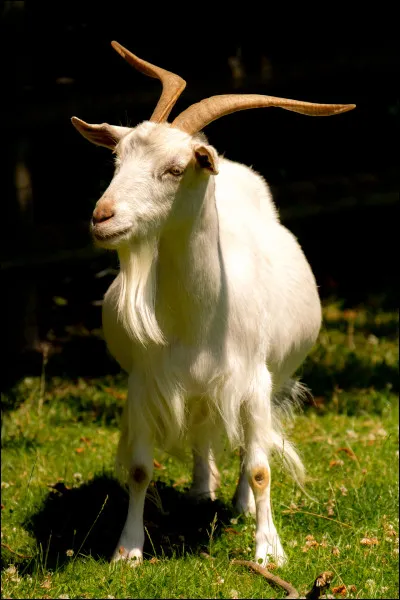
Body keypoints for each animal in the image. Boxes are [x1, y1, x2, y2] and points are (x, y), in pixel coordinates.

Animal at [70, 42, 354, 568]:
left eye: (175, 168)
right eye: (117, 159)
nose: (103, 217)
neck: (197, 319)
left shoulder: (254, 380)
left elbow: (261, 467)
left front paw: (269, 551)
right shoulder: (144, 382)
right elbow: (139, 469)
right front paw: (127, 550)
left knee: (243, 446)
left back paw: (239, 504)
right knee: (202, 428)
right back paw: (203, 489)